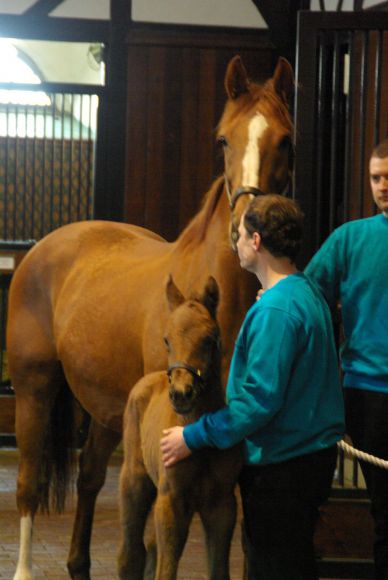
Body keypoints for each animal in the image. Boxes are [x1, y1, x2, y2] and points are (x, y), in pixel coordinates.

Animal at [119, 278, 242, 580]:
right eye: (167, 339)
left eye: (210, 339)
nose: (181, 394)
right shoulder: (172, 500)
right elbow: (166, 569)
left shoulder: (222, 505)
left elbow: (218, 570)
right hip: (134, 482)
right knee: (130, 554)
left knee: (150, 549)